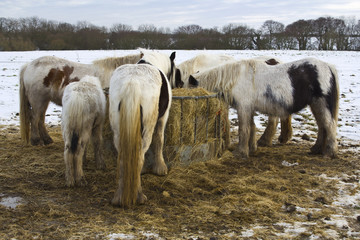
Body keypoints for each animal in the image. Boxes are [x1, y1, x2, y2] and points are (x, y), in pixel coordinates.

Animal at [108, 64, 172, 208]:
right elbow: (159, 140)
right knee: (139, 155)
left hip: (118, 131)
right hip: (147, 129)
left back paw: (118, 197)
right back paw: (139, 196)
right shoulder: (162, 118)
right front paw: (160, 168)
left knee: (123, 158)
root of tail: (132, 82)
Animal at [190, 58, 338, 158]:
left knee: (329, 125)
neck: (235, 79)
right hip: (316, 106)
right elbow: (252, 127)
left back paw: (329, 152)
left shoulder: (243, 108)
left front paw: (240, 152)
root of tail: (329, 67)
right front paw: (251, 148)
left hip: (321, 105)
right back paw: (316, 149)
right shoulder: (248, 108)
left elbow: (244, 129)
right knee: (322, 126)